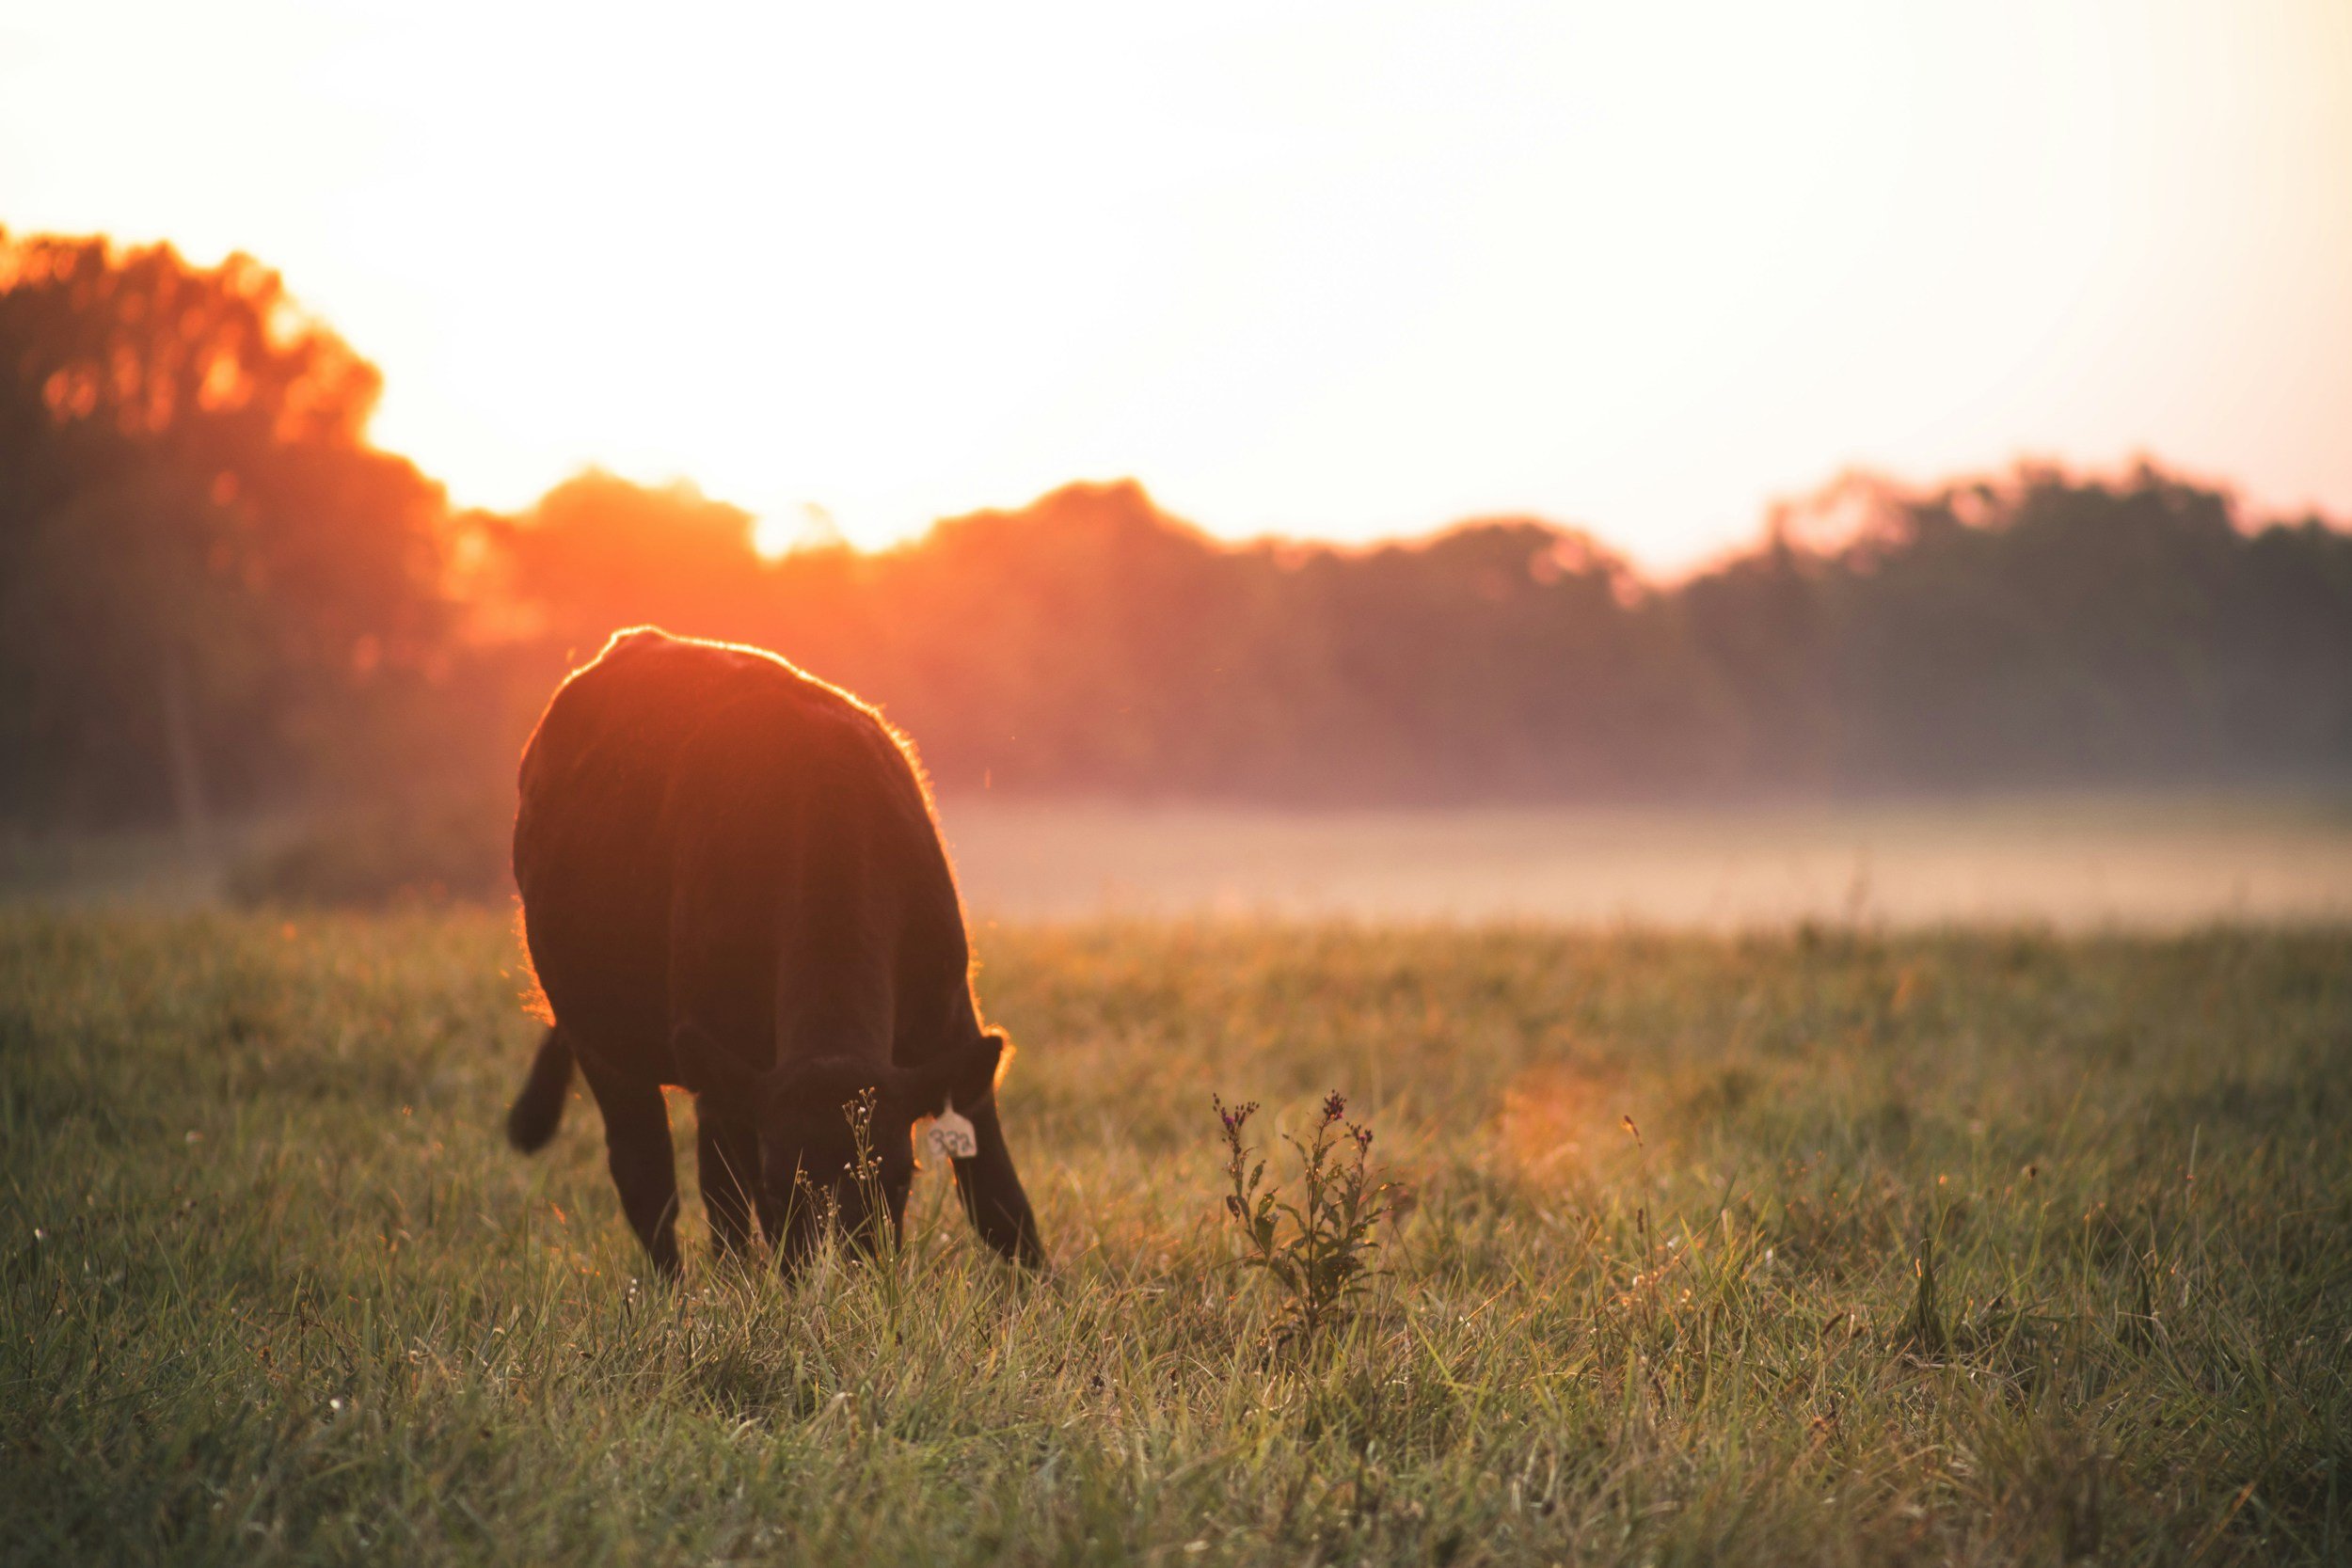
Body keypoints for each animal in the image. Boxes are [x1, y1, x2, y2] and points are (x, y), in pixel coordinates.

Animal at [502, 626, 1046, 1280]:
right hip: (608, 1042)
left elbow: (1002, 1204)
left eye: (898, 1178)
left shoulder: (952, 1029)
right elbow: (742, 1212)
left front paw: (1047, 1292)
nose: (843, 1283)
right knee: (651, 1182)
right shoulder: (730, 1073)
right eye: (778, 1183)